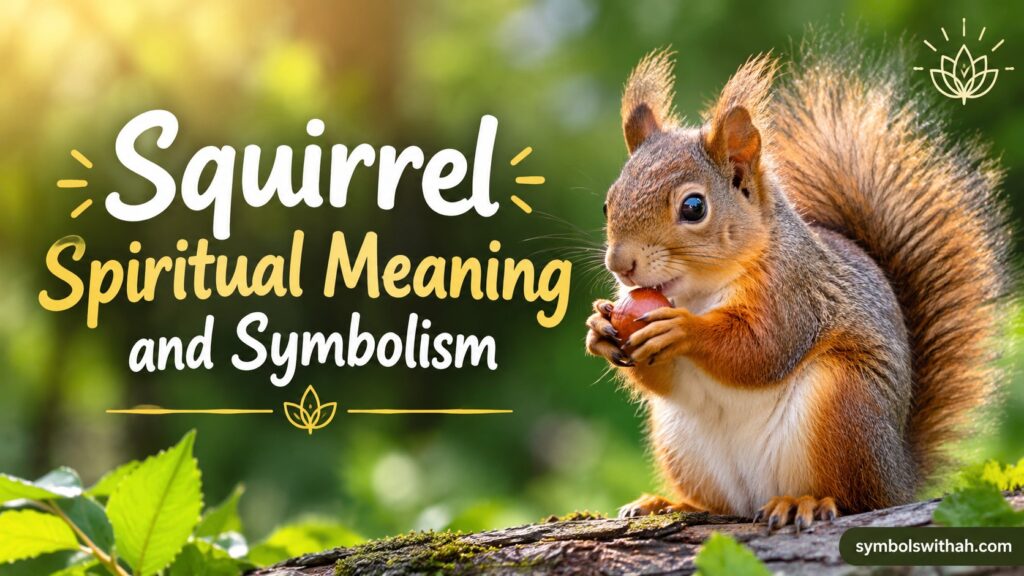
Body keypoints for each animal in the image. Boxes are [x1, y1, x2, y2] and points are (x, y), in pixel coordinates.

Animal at [585, 41, 1010, 532]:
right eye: (607, 203)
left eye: (693, 207)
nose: (621, 264)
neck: (698, 291)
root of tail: (899, 476)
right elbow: (664, 378)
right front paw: (599, 330)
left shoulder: (794, 292)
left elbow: (763, 348)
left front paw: (683, 330)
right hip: (682, 443)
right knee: (721, 504)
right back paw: (672, 504)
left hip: (844, 405)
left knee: (855, 497)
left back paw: (803, 502)